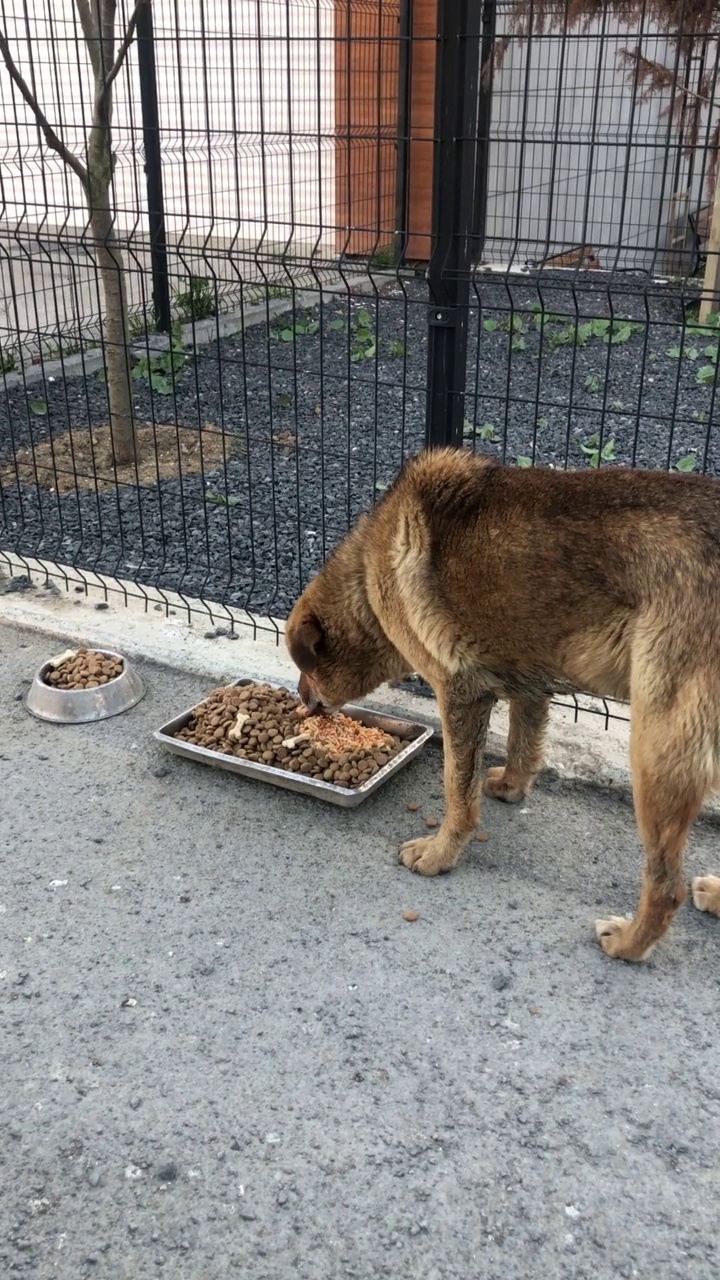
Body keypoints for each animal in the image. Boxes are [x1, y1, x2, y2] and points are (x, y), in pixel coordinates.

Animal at [283, 450, 717, 962]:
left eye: (306, 670)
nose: (300, 701)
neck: (368, 580)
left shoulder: (461, 695)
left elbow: (457, 790)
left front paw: (440, 855)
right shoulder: (528, 683)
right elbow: (522, 742)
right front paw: (512, 786)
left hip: (656, 758)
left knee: (666, 884)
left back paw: (630, 943)